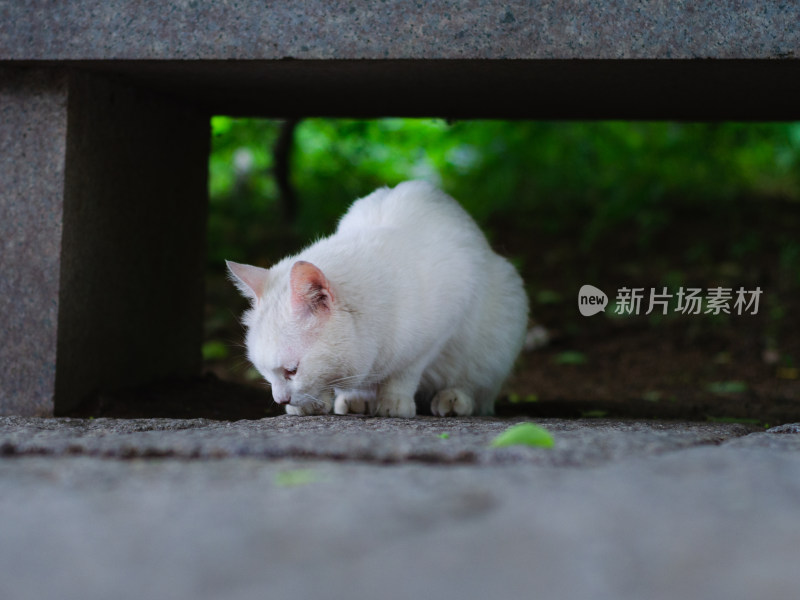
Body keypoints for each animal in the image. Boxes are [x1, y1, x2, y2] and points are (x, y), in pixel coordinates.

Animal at [228, 180, 528, 420]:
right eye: (264, 371)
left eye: (292, 370)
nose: (280, 400)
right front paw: (340, 399)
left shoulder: (436, 335)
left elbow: (404, 373)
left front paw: (393, 401)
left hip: (502, 318)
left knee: (478, 387)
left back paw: (453, 399)